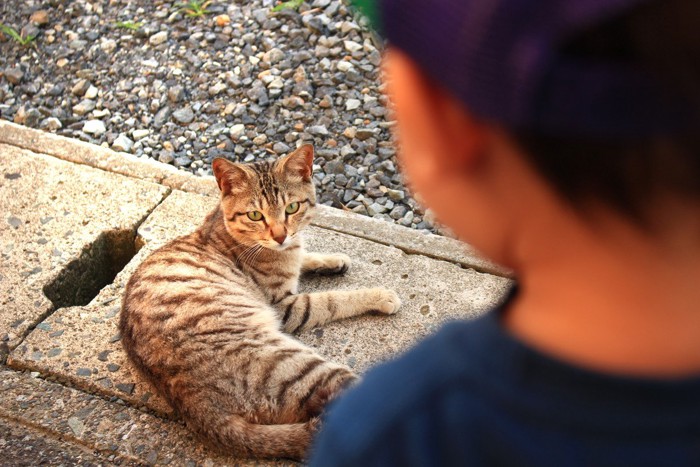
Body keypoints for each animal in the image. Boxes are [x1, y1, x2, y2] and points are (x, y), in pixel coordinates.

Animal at [120, 144, 400, 460]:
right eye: (255, 215)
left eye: (292, 208)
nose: (279, 235)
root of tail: (199, 409)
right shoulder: (286, 306)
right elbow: (332, 299)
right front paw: (379, 295)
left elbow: (305, 256)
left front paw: (330, 260)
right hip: (298, 368)